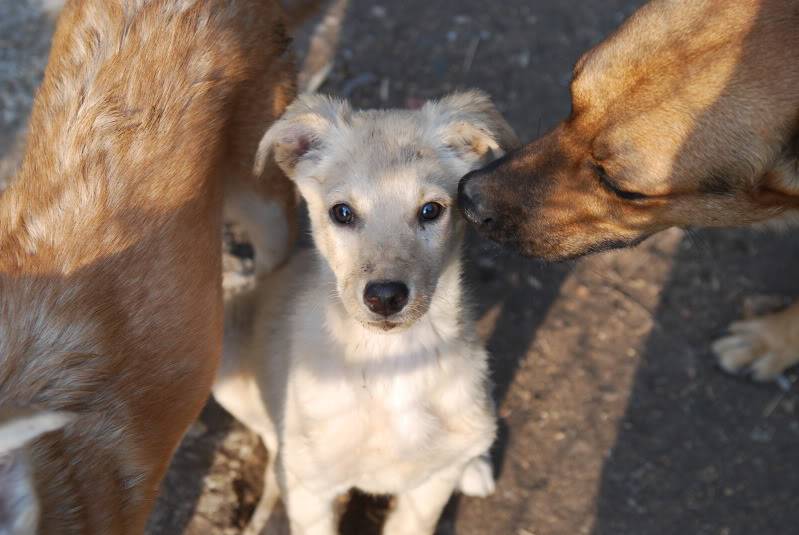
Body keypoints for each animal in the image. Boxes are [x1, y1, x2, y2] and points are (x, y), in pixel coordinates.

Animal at [214, 90, 520, 532]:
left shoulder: (428, 489)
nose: (386, 297)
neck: (392, 362)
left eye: (431, 210)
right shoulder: (312, 495)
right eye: (342, 212)